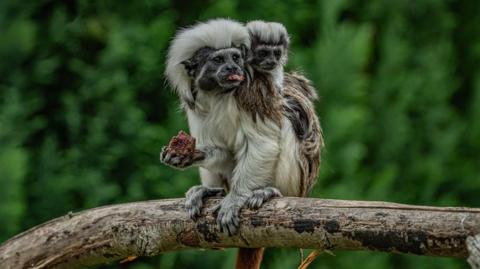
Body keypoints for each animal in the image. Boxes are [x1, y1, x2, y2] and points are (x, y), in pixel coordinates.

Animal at [161, 18, 322, 268]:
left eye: (235, 58)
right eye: (218, 60)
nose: (232, 69)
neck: (219, 94)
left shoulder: (252, 94)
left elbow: (262, 144)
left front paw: (236, 198)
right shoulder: (196, 104)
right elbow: (222, 151)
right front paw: (187, 154)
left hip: (298, 183)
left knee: (286, 120)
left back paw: (269, 191)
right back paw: (211, 190)